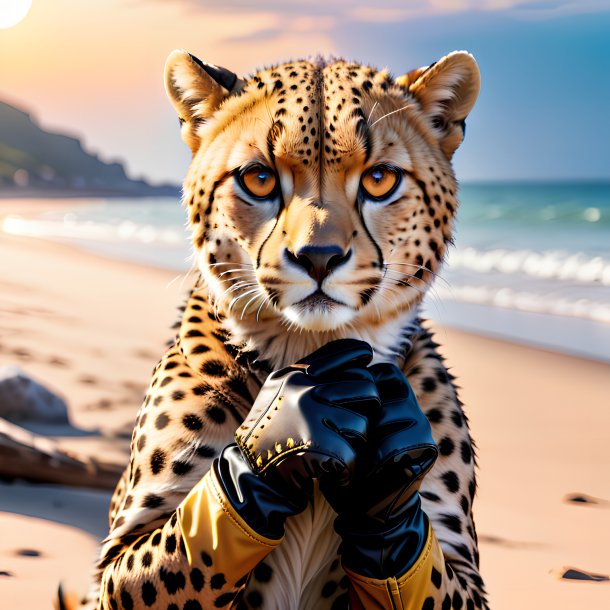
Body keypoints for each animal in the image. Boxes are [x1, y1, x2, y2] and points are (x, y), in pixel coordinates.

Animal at [60, 48, 484, 608]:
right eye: (258, 178)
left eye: (379, 179)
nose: (319, 256)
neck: (320, 351)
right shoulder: (116, 559)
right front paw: (284, 427)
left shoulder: (463, 573)